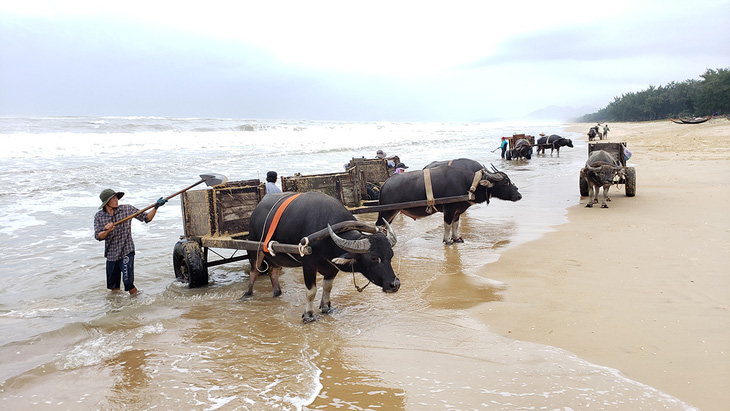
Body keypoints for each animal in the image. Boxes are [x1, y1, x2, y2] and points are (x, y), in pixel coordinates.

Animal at [246, 192, 398, 324]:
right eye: (374, 258)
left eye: (390, 256)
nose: (395, 284)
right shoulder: (308, 266)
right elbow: (311, 292)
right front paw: (308, 315)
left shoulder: (331, 267)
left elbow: (327, 287)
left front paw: (326, 307)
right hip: (255, 250)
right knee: (254, 271)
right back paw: (247, 295)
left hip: (276, 256)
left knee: (273, 271)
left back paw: (277, 293)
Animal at [378, 164, 520, 245]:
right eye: (506, 182)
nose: (519, 196)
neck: (468, 185)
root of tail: (384, 185)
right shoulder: (449, 210)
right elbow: (447, 224)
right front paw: (447, 240)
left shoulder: (458, 211)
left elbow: (455, 224)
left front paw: (456, 238)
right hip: (386, 211)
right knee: (379, 226)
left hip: (392, 213)